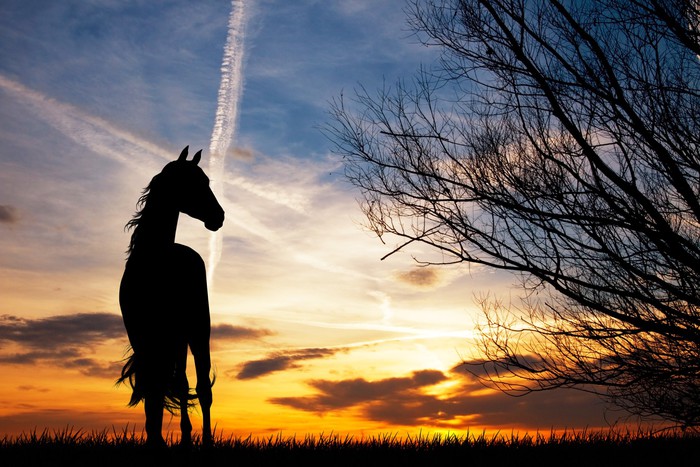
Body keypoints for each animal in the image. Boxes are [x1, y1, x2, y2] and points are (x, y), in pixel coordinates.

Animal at [118, 146, 225, 447]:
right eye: (193, 183)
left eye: (207, 182)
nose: (219, 216)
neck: (154, 262)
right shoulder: (141, 337)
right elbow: (154, 389)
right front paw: (154, 438)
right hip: (174, 341)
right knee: (180, 383)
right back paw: (185, 438)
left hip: (196, 332)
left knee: (202, 388)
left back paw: (205, 441)